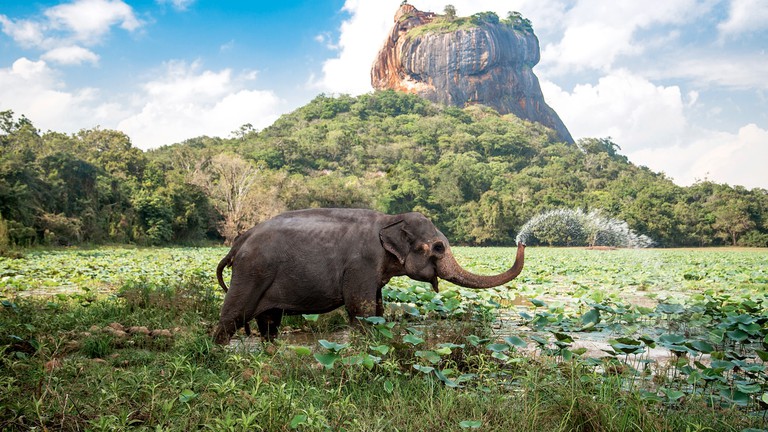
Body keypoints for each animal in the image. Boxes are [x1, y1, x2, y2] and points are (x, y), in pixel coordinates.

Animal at [213, 208, 524, 346]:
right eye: (438, 247)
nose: (522, 241)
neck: (389, 219)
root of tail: (239, 242)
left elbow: (377, 309)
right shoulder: (361, 264)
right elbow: (360, 310)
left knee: (269, 324)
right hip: (251, 273)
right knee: (232, 317)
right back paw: (217, 354)